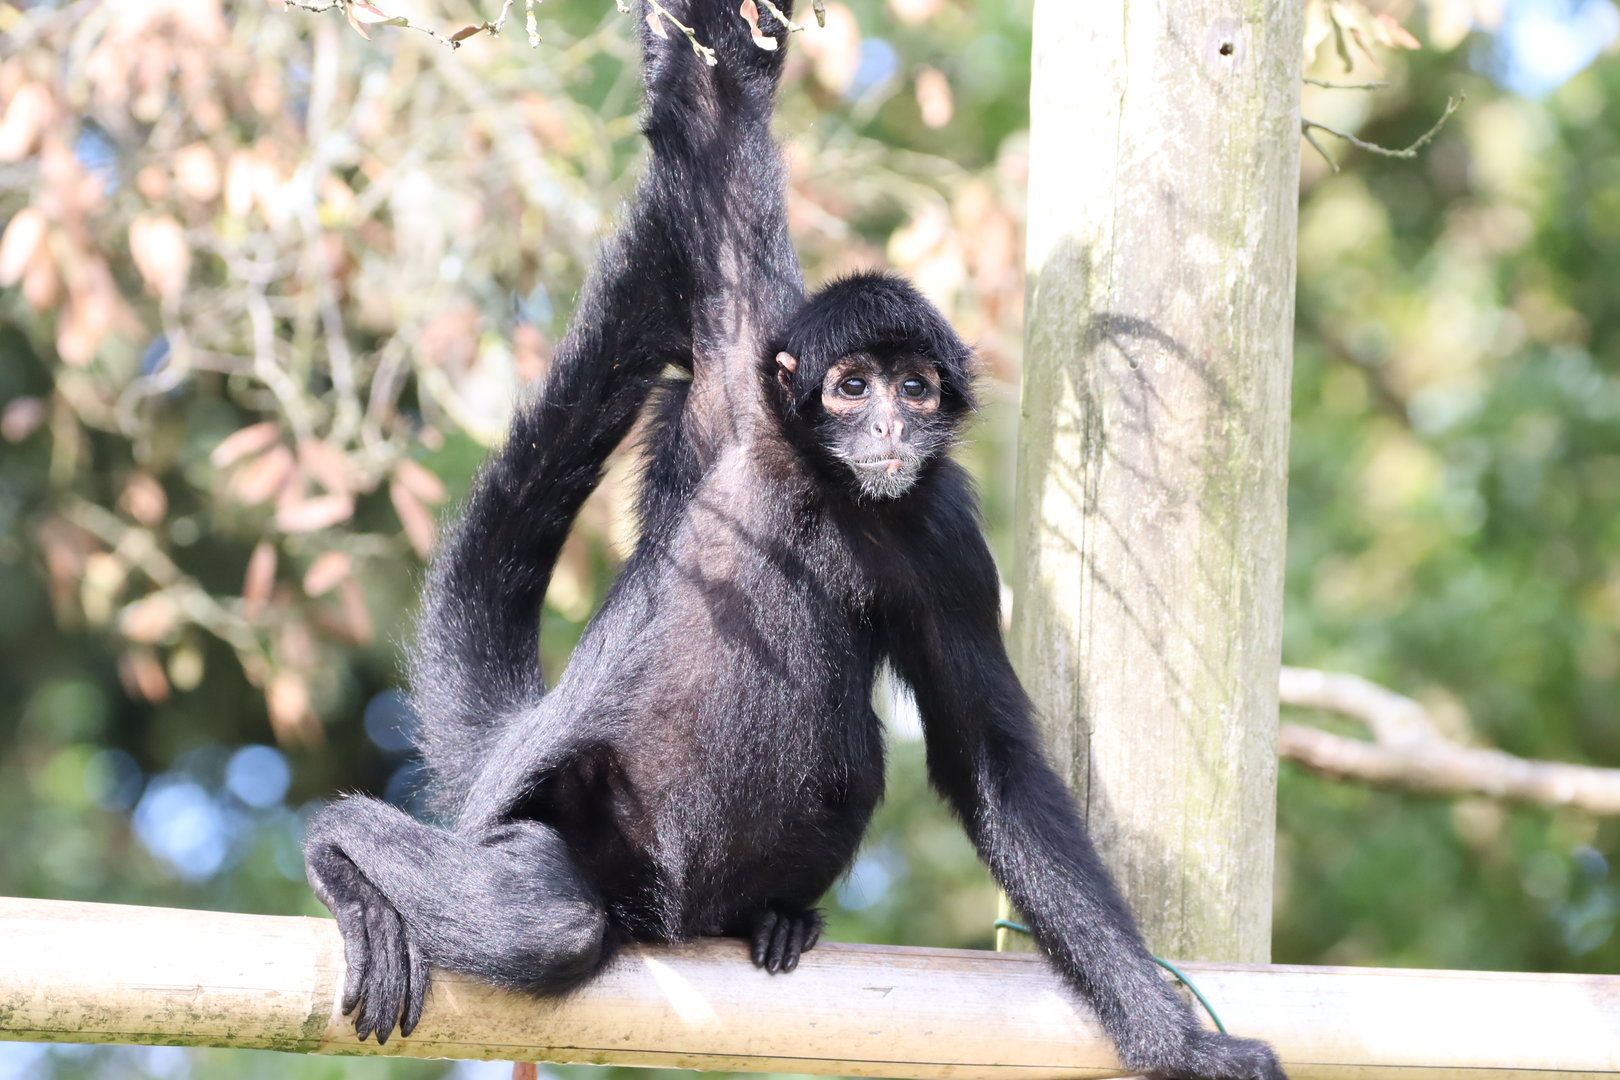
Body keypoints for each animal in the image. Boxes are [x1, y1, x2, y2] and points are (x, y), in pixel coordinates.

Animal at [303, 3, 1286, 1077]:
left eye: (916, 389)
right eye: (852, 386)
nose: (889, 426)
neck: (832, 490)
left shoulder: (945, 534)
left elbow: (990, 757)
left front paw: (1172, 1041)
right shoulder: (741, 385)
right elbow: (714, 109)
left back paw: (771, 917)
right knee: (545, 920)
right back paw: (343, 846)